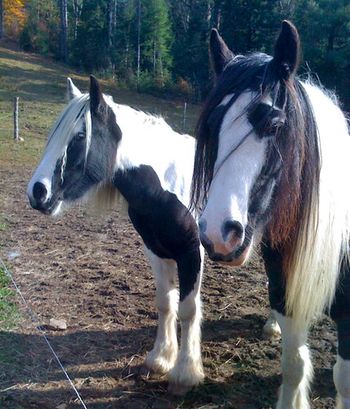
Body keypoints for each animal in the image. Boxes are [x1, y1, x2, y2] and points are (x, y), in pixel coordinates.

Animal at [28, 75, 205, 392]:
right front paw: (160, 359)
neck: (167, 184)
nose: (37, 191)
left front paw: (185, 374)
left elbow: (188, 309)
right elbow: (165, 303)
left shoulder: (191, 252)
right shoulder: (156, 250)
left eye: (79, 137)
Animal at [191, 20, 350, 408]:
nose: (218, 234)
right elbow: (293, 365)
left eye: (275, 126)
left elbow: (344, 379)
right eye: (211, 126)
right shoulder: (287, 292)